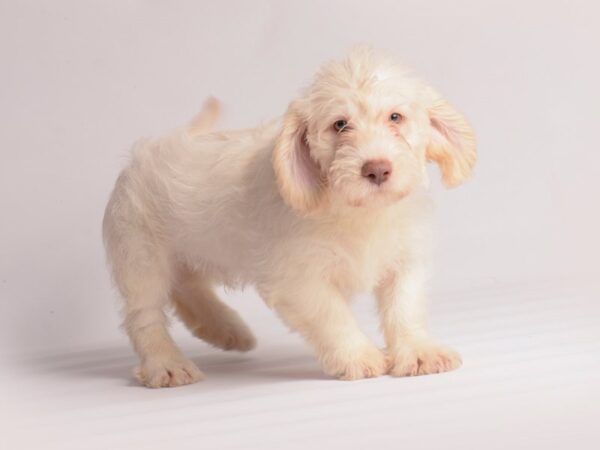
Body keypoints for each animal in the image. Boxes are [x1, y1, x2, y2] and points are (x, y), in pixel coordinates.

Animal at [103, 48, 478, 386]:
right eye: (340, 125)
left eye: (395, 118)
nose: (377, 169)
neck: (359, 212)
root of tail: (146, 150)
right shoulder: (299, 280)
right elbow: (333, 316)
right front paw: (358, 356)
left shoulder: (404, 260)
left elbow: (405, 308)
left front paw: (420, 352)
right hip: (141, 258)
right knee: (145, 315)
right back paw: (167, 364)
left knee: (187, 287)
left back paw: (226, 329)